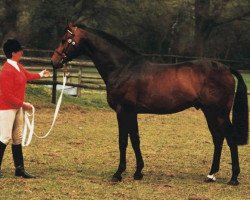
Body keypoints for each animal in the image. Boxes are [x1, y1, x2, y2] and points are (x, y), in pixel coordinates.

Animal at [50, 23, 248, 186]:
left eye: (64, 40)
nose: (54, 61)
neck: (123, 68)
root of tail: (226, 68)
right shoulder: (132, 112)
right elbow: (135, 139)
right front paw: (138, 172)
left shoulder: (123, 111)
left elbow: (123, 141)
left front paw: (118, 174)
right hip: (209, 112)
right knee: (218, 138)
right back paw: (211, 175)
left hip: (219, 113)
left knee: (230, 138)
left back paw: (233, 178)